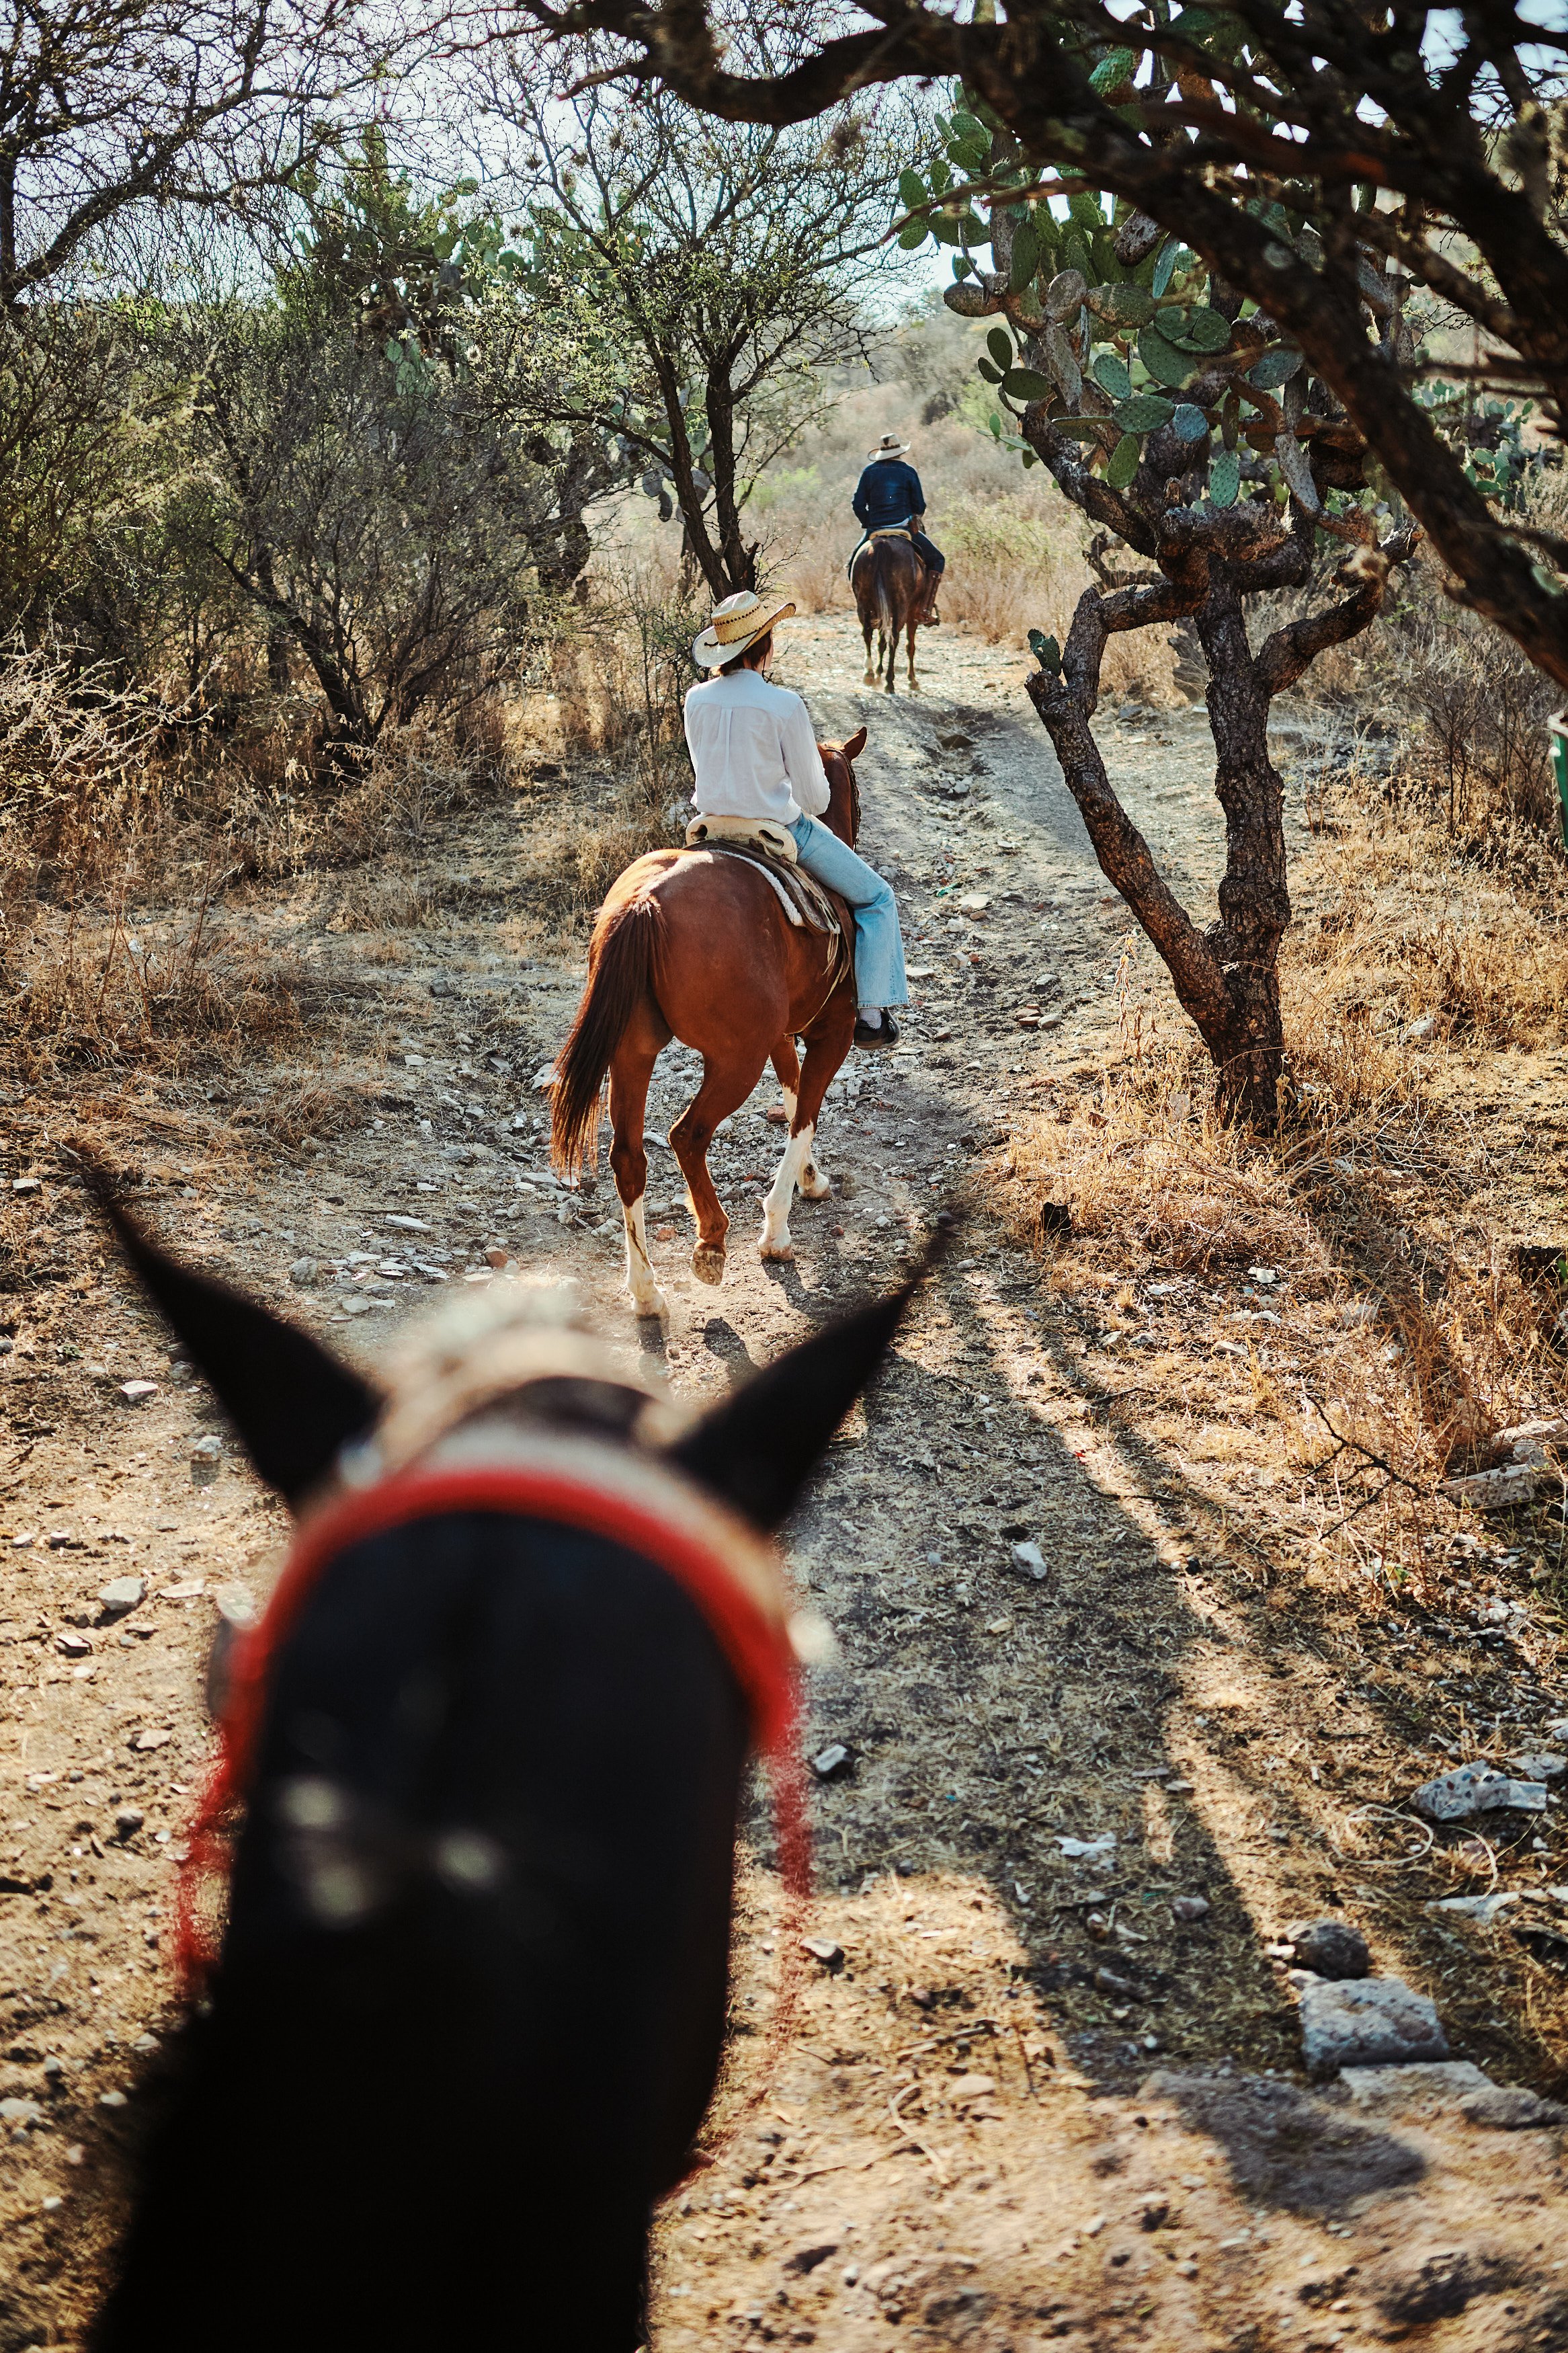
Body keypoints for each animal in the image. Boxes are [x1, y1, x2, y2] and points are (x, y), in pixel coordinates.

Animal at [551, 727, 867, 1320]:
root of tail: (644, 903)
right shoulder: (830, 1031)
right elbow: (805, 1111)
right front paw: (776, 1230)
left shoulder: (778, 1035)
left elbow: (793, 1093)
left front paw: (810, 1180)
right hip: (733, 1061)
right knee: (687, 1135)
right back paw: (712, 1243)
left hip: (633, 1053)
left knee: (628, 1156)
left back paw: (646, 1290)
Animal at [851, 531, 926, 696]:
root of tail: (883, 545)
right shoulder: (912, 614)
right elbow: (910, 646)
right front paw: (912, 681)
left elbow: (881, 642)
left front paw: (878, 673)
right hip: (901, 608)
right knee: (894, 639)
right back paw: (889, 683)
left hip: (863, 604)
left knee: (868, 634)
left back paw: (869, 675)